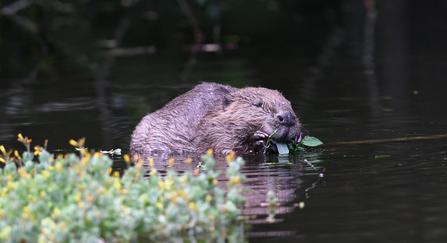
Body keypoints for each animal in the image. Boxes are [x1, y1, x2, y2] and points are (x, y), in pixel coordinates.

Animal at [130, 81, 304, 154]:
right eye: (257, 104)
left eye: (289, 103)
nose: (287, 118)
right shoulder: (212, 131)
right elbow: (226, 148)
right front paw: (258, 139)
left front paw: (299, 137)